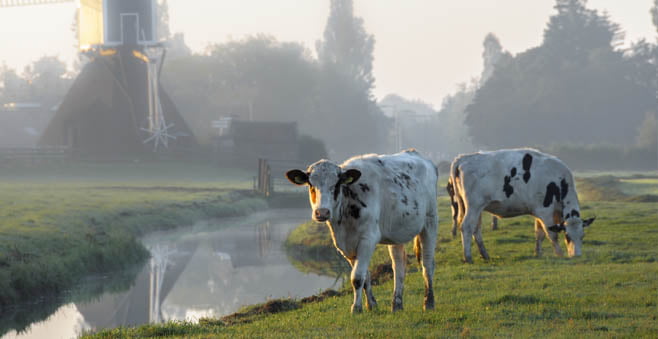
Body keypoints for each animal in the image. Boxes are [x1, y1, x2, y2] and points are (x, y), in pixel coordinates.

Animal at [282, 150, 436, 314]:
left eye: (337, 184)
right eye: (311, 184)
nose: (322, 212)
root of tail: (414, 152)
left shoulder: (368, 239)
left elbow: (356, 277)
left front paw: (356, 308)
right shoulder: (344, 245)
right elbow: (365, 275)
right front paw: (371, 305)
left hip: (430, 220)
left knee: (427, 263)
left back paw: (429, 302)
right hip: (396, 232)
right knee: (399, 263)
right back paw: (397, 305)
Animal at [446, 149, 596, 262]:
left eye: (582, 236)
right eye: (567, 236)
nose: (577, 255)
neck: (559, 183)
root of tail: (464, 158)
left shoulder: (538, 211)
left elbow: (539, 233)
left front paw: (538, 253)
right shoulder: (545, 211)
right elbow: (551, 233)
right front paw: (560, 254)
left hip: (476, 208)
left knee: (476, 229)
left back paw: (485, 255)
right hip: (474, 206)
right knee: (467, 227)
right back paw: (468, 257)